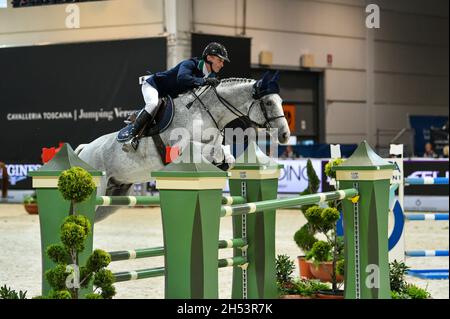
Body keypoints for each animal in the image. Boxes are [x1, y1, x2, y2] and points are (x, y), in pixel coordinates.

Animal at [76, 72, 290, 222]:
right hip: (99, 187)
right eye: (268, 102)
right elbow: (206, 149)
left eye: (280, 101)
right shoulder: (179, 148)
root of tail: (83, 150)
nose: (285, 135)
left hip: (113, 198)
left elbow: (224, 153)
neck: (204, 112)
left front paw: (223, 164)